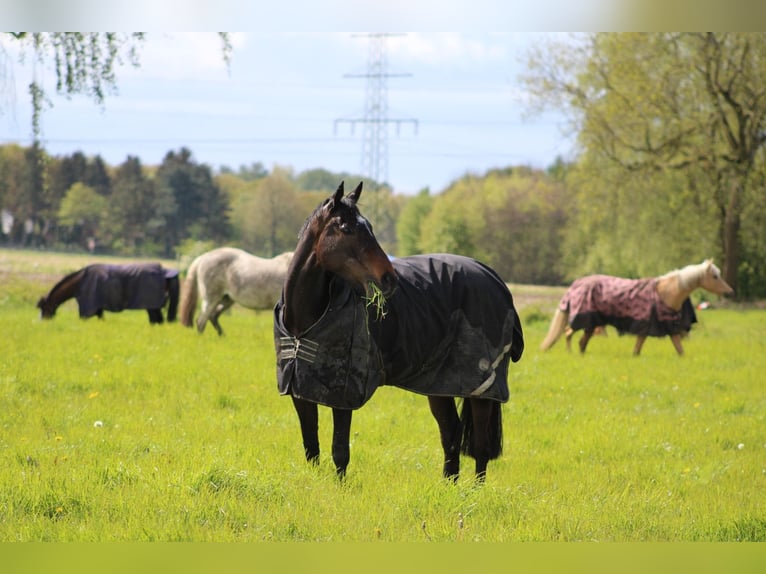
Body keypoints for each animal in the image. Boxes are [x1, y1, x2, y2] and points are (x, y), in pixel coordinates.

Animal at [39, 264, 182, 326]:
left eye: (44, 309)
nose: (43, 321)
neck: (80, 282)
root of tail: (164, 272)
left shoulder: (88, 308)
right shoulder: (98, 308)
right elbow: (101, 318)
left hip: (151, 306)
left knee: (155, 320)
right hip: (154, 307)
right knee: (158, 321)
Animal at [272, 182, 524, 484]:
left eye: (369, 226)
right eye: (346, 228)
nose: (388, 278)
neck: (307, 319)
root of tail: (494, 279)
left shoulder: (344, 395)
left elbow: (339, 450)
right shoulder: (299, 391)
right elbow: (312, 446)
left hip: (482, 389)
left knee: (480, 444)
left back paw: (474, 491)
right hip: (439, 384)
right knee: (450, 432)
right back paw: (449, 486)